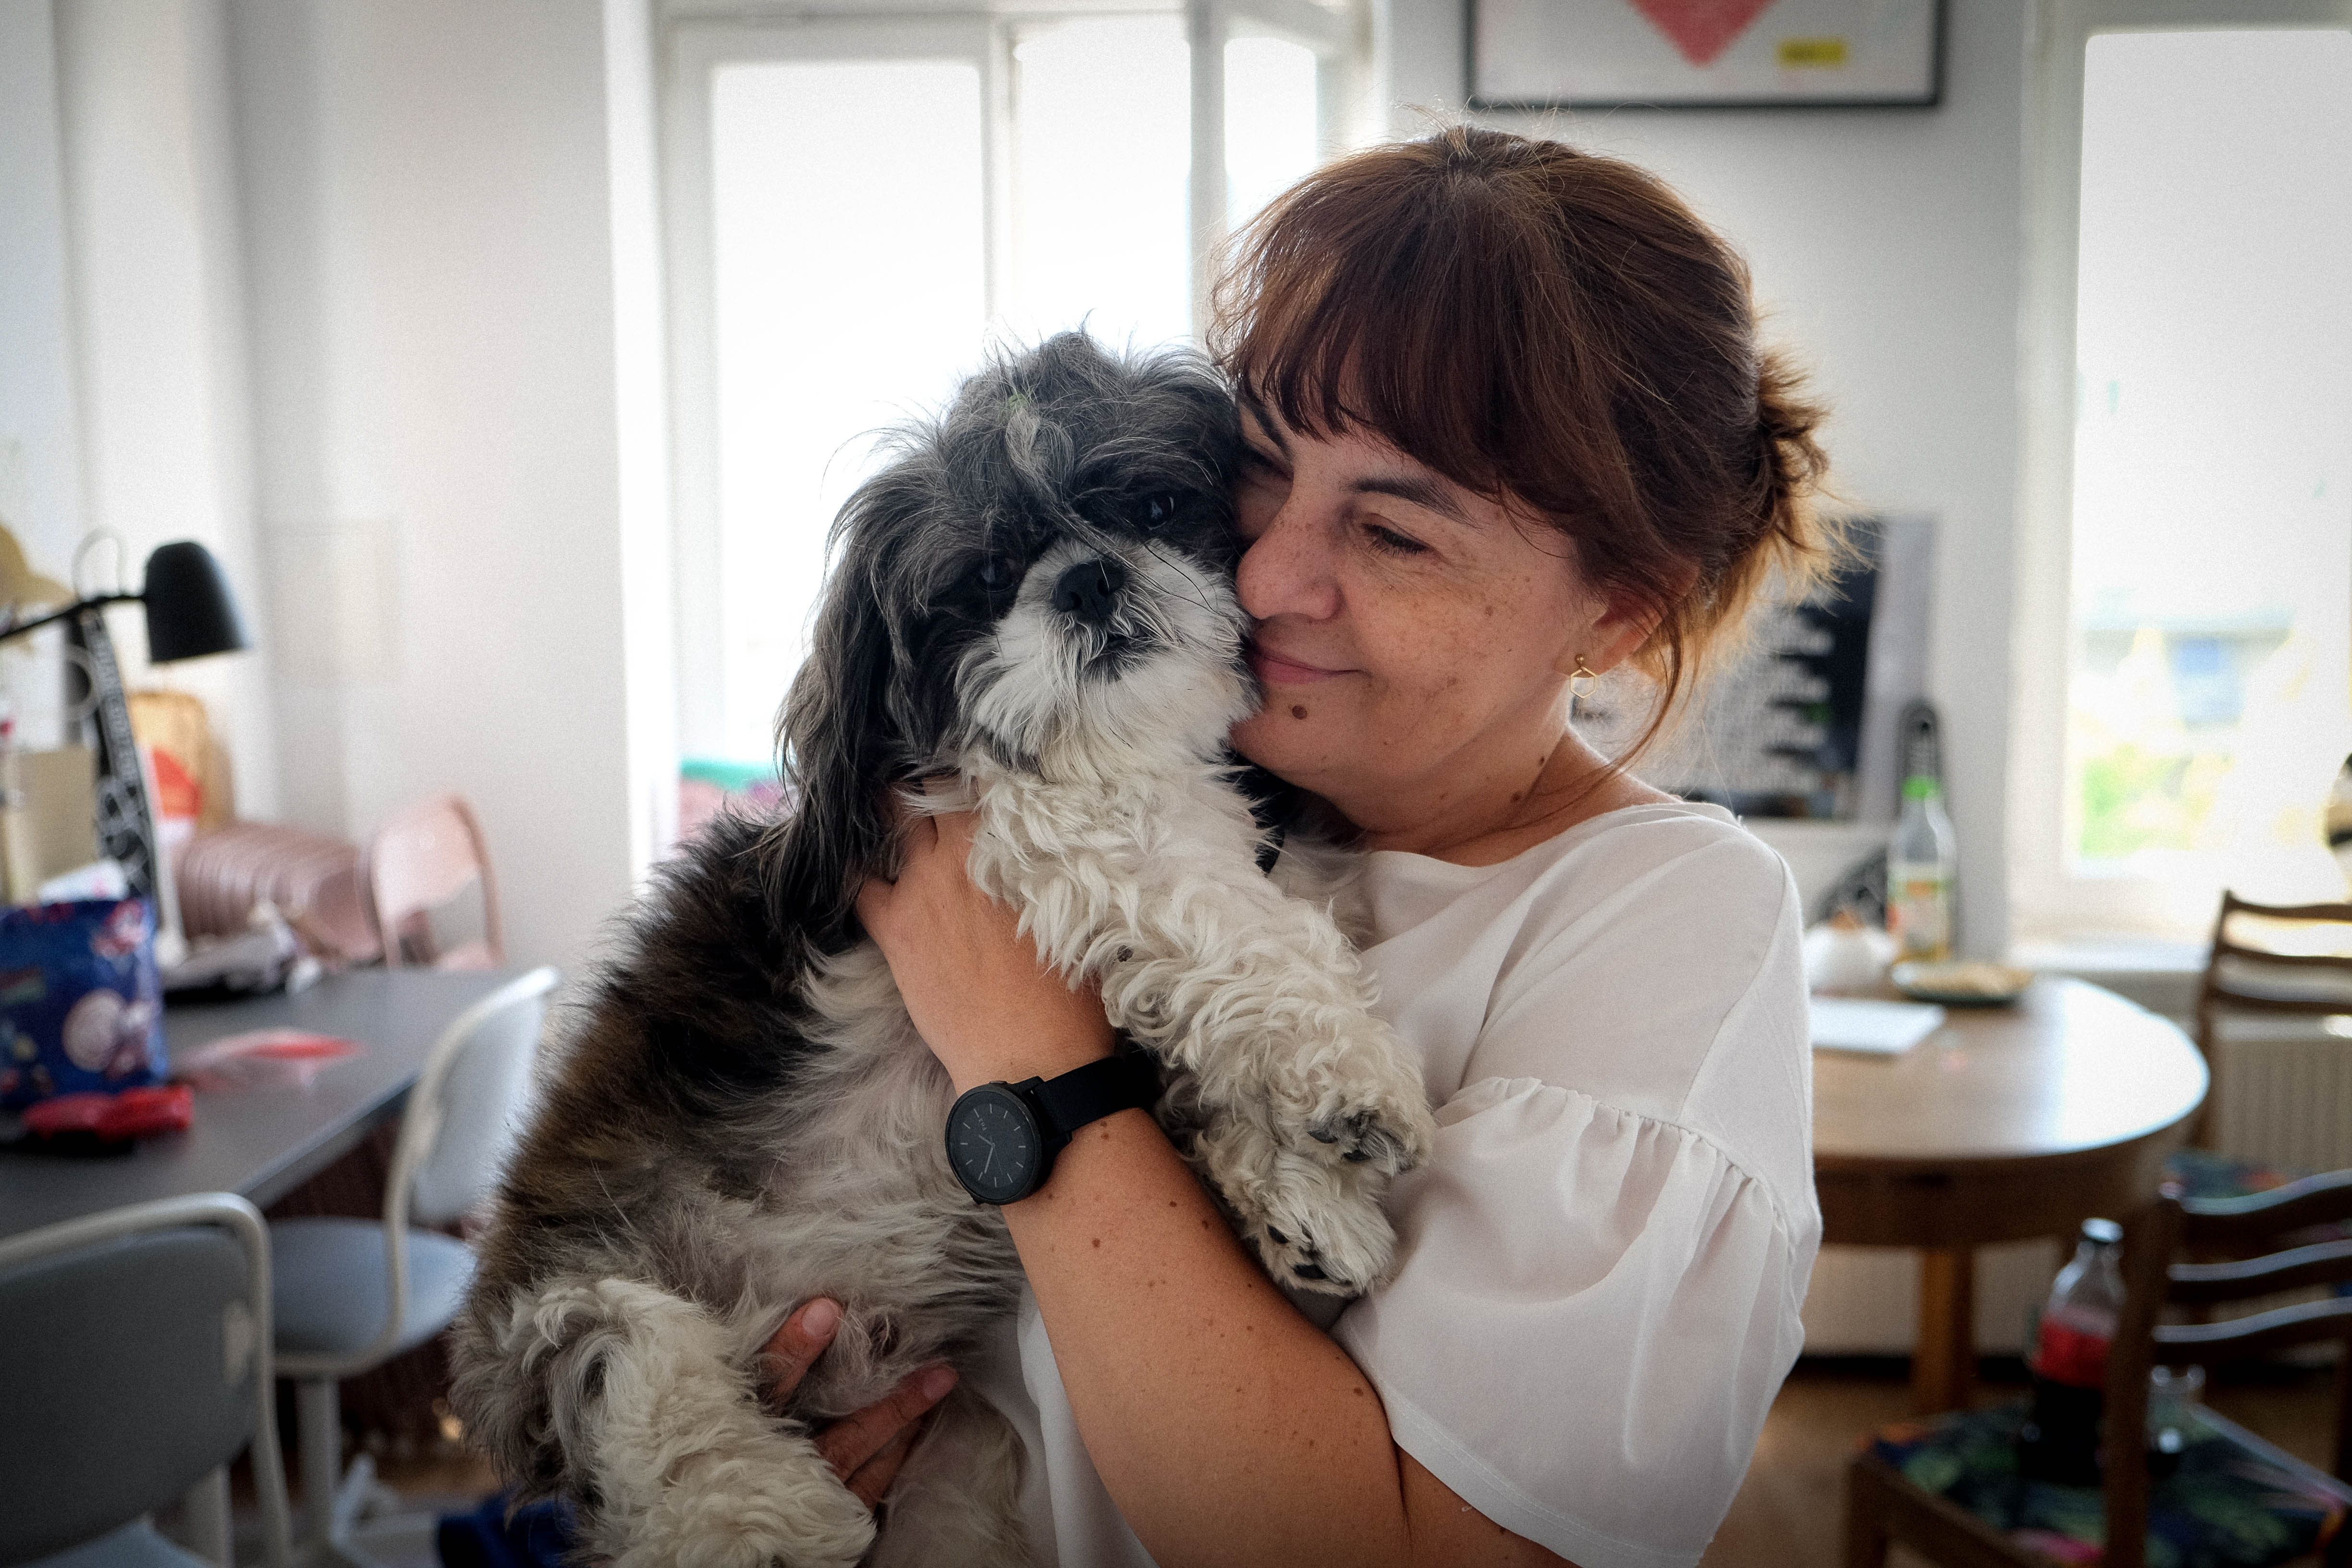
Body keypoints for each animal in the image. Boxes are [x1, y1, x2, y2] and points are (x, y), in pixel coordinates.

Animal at [442, 333, 1430, 1568]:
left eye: (1153, 505)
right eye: (988, 579)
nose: (1088, 578)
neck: (1145, 755)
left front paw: (1302, 1194)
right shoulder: (1041, 829)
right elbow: (1230, 923)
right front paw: (1348, 1079)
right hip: (560, 1290)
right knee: (631, 1367)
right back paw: (752, 1518)